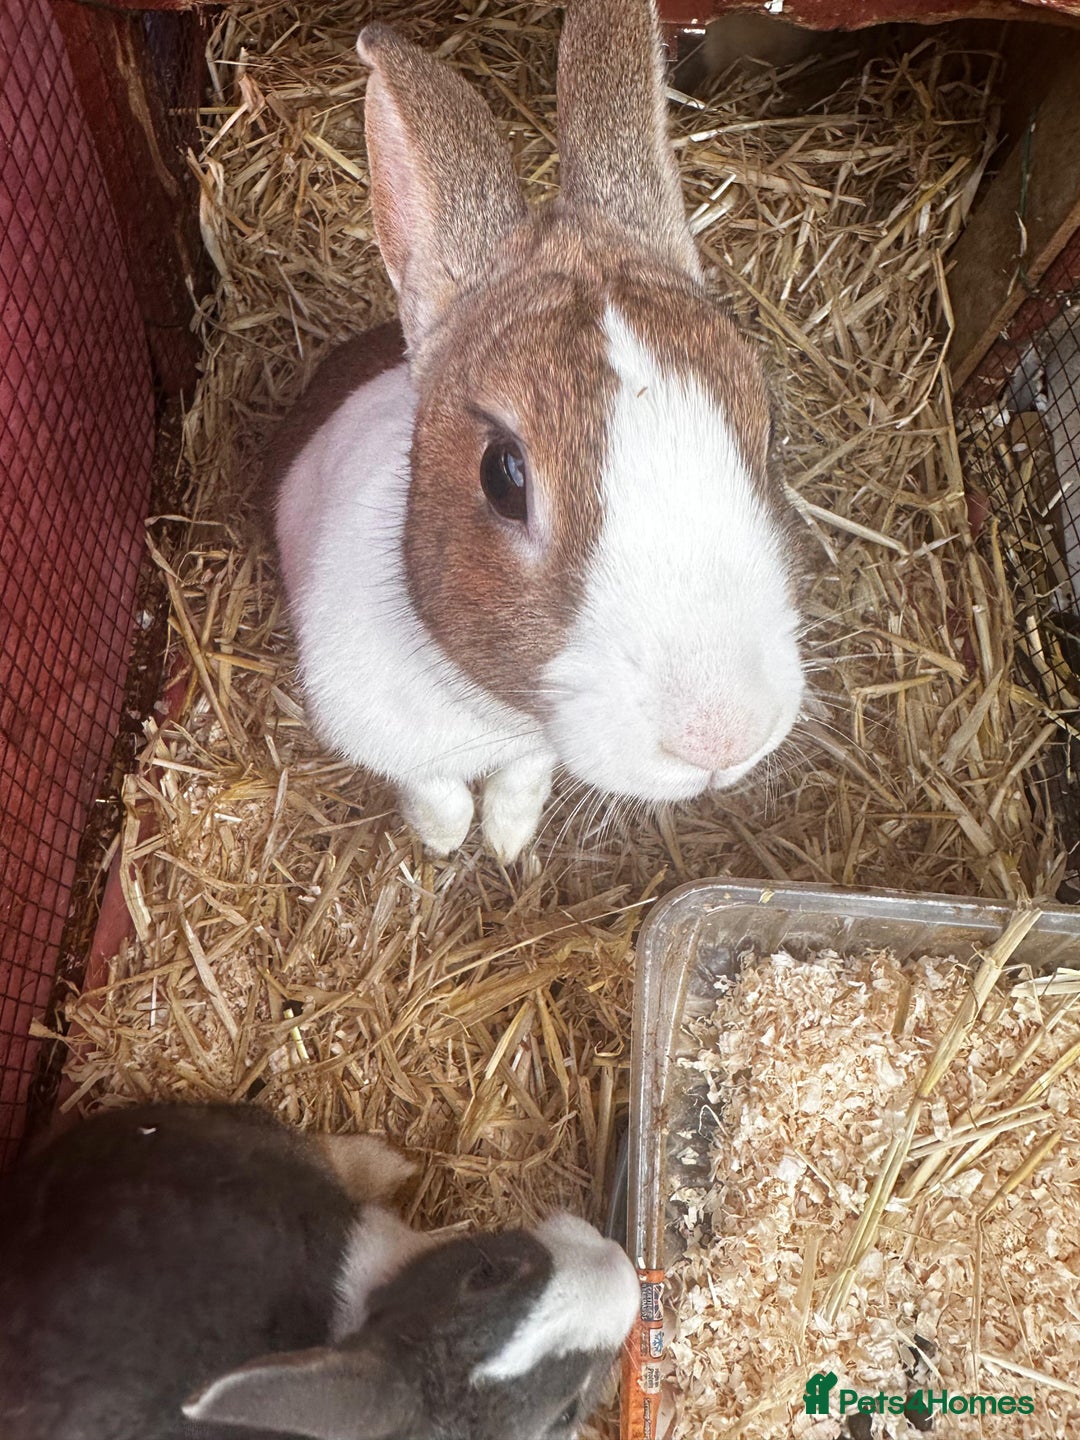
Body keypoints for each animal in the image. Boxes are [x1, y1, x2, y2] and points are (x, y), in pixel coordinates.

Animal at [271, 0, 807, 864]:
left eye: (766, 433)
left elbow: (523, 776)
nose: (720, 736)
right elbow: (432, 786)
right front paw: (447, 840)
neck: (489, 710)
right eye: (503, 477)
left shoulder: (531, 748)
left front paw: (507, 839)